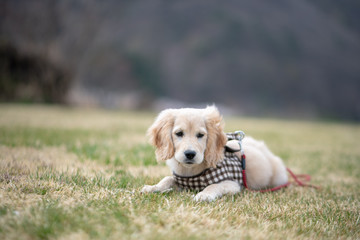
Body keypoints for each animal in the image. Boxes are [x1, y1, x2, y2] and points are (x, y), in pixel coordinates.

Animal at [142, 106, 288, 202]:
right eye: (179, 133)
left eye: (200, 135)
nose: (190, 154)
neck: (191, 172)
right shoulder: (181, 180)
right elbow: (167, 179)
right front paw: (153, 187)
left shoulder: (233, 184)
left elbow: (214, 185)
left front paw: (204, 195)